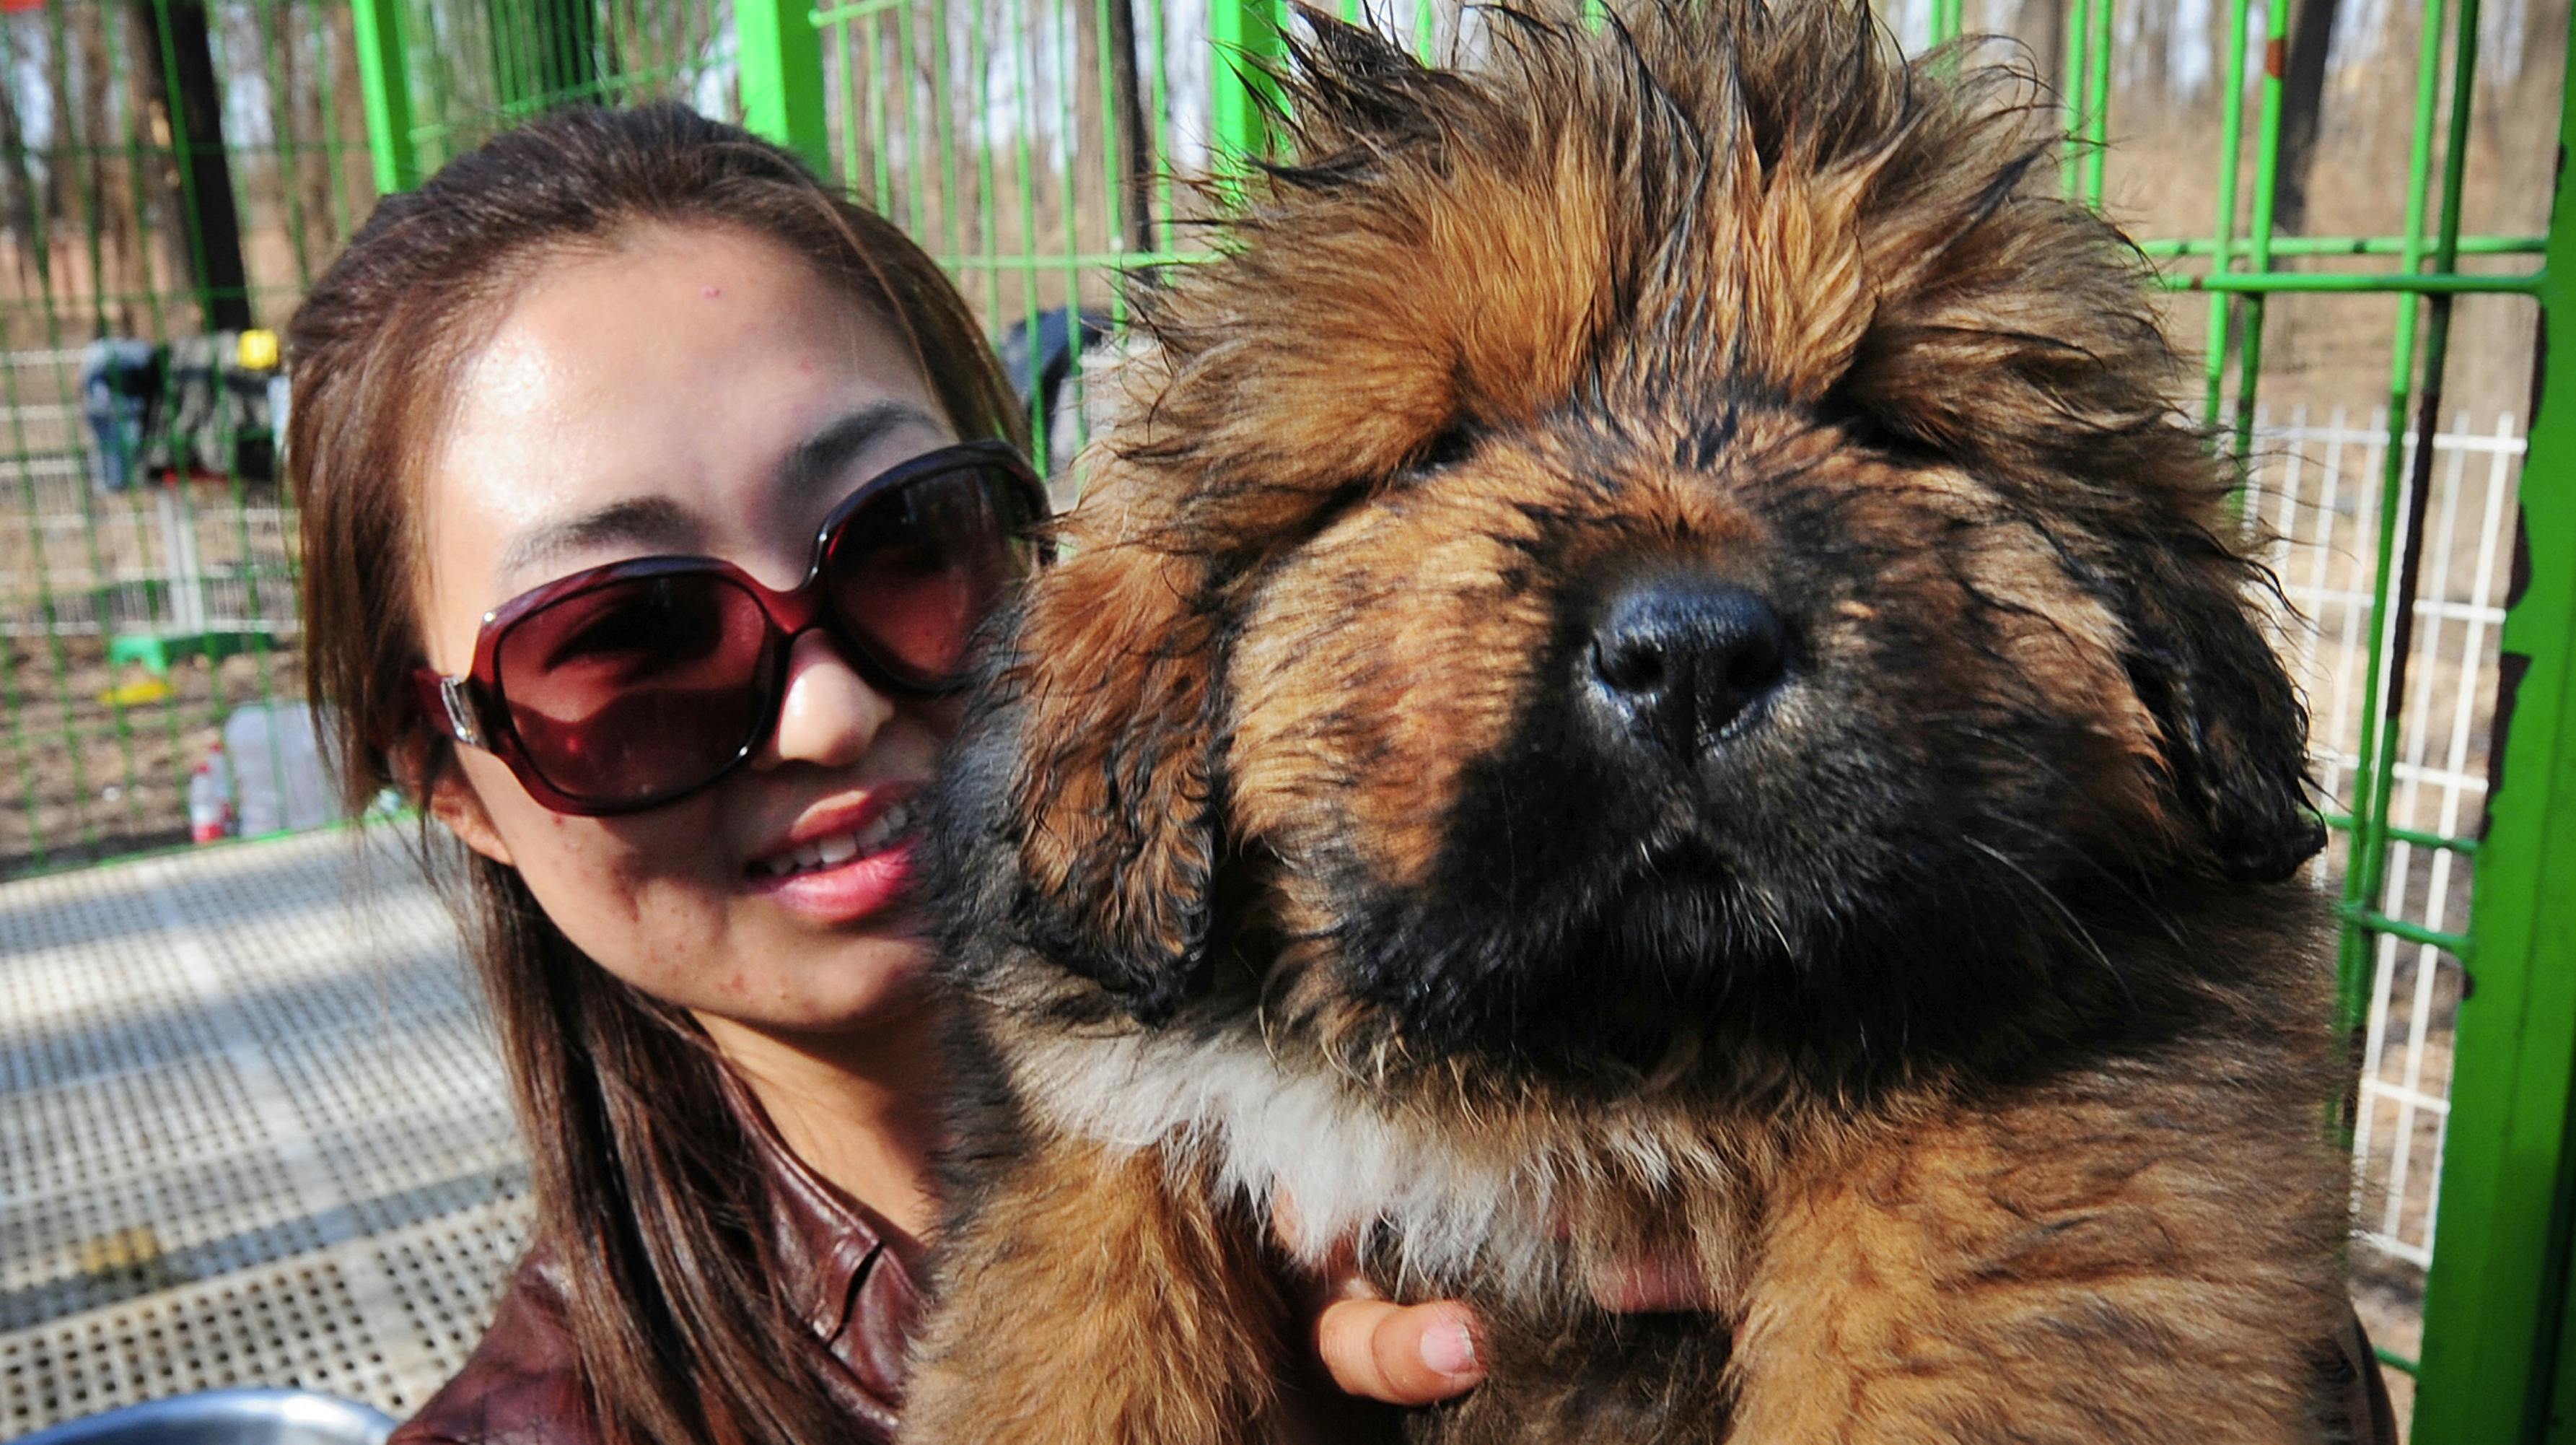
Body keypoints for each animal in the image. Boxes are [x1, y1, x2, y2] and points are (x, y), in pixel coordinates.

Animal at [911, 0, 2370, 1432]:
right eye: (1441, 449)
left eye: (1877, 426)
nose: (1691, 658)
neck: (1615, 1055)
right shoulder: (1110, 1106)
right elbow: (1078, 1326)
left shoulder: (2069, 1093)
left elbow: (1937, 1331)